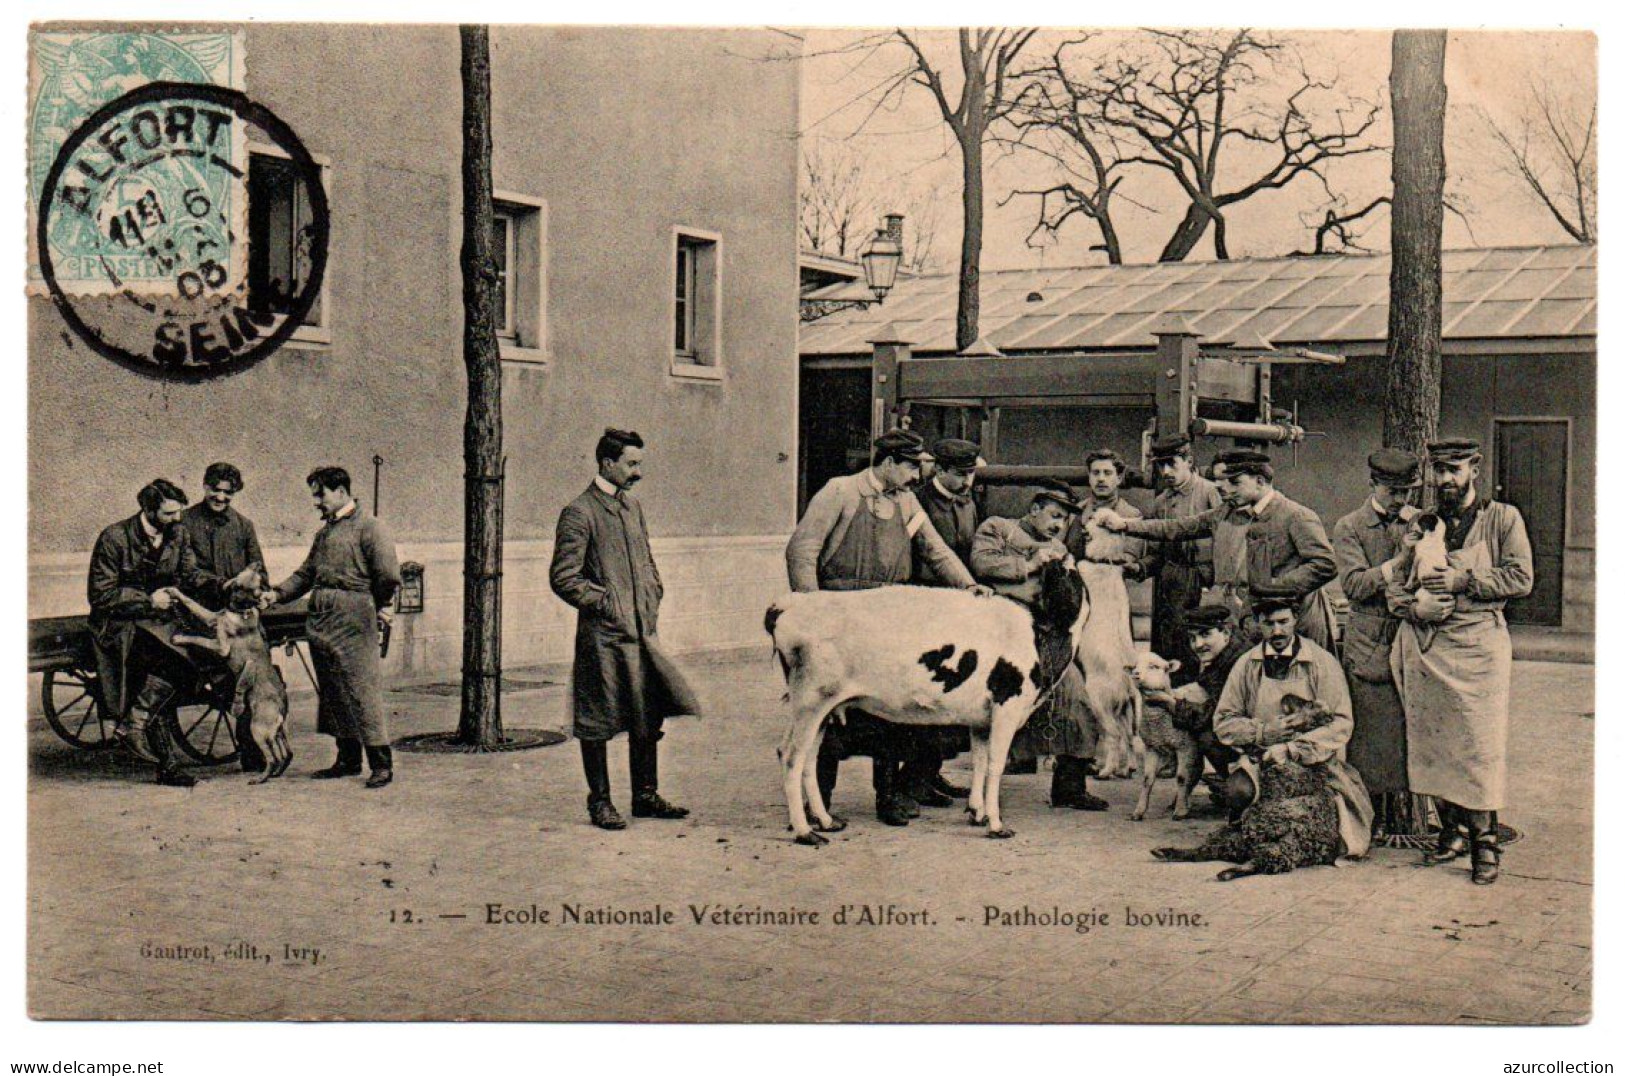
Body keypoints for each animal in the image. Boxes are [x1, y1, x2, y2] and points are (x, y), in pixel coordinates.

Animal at [760, 559, 1092, 845]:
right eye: (1070, 574)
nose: (1058, 558)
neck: (1039, 640)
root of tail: (790, 604)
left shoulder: (980, 719)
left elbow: (979, 761)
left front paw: (977, 813)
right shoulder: (1006, 708)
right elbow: (995, 765)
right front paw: (997, 825)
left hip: (822, 707)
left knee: (809, 757)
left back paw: (827, 821)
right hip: (810, 700)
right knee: (790, 756)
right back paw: (805, 832)